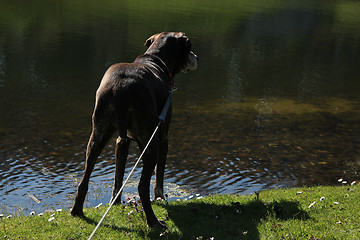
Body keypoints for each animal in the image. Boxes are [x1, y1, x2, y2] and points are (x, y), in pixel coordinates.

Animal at [70, 32, 198, 229]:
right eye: (189, 47)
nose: (196, 57)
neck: (156, 59)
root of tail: (120, 88)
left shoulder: (122, 141)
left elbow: (118, 177)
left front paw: (115, 203)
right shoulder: (163, 138)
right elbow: (159, 176)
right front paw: (160, 198)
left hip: (97, 137)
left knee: (84, 180)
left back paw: (77, 211)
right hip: (150, 145)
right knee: (142, 186)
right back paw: (154, 222)